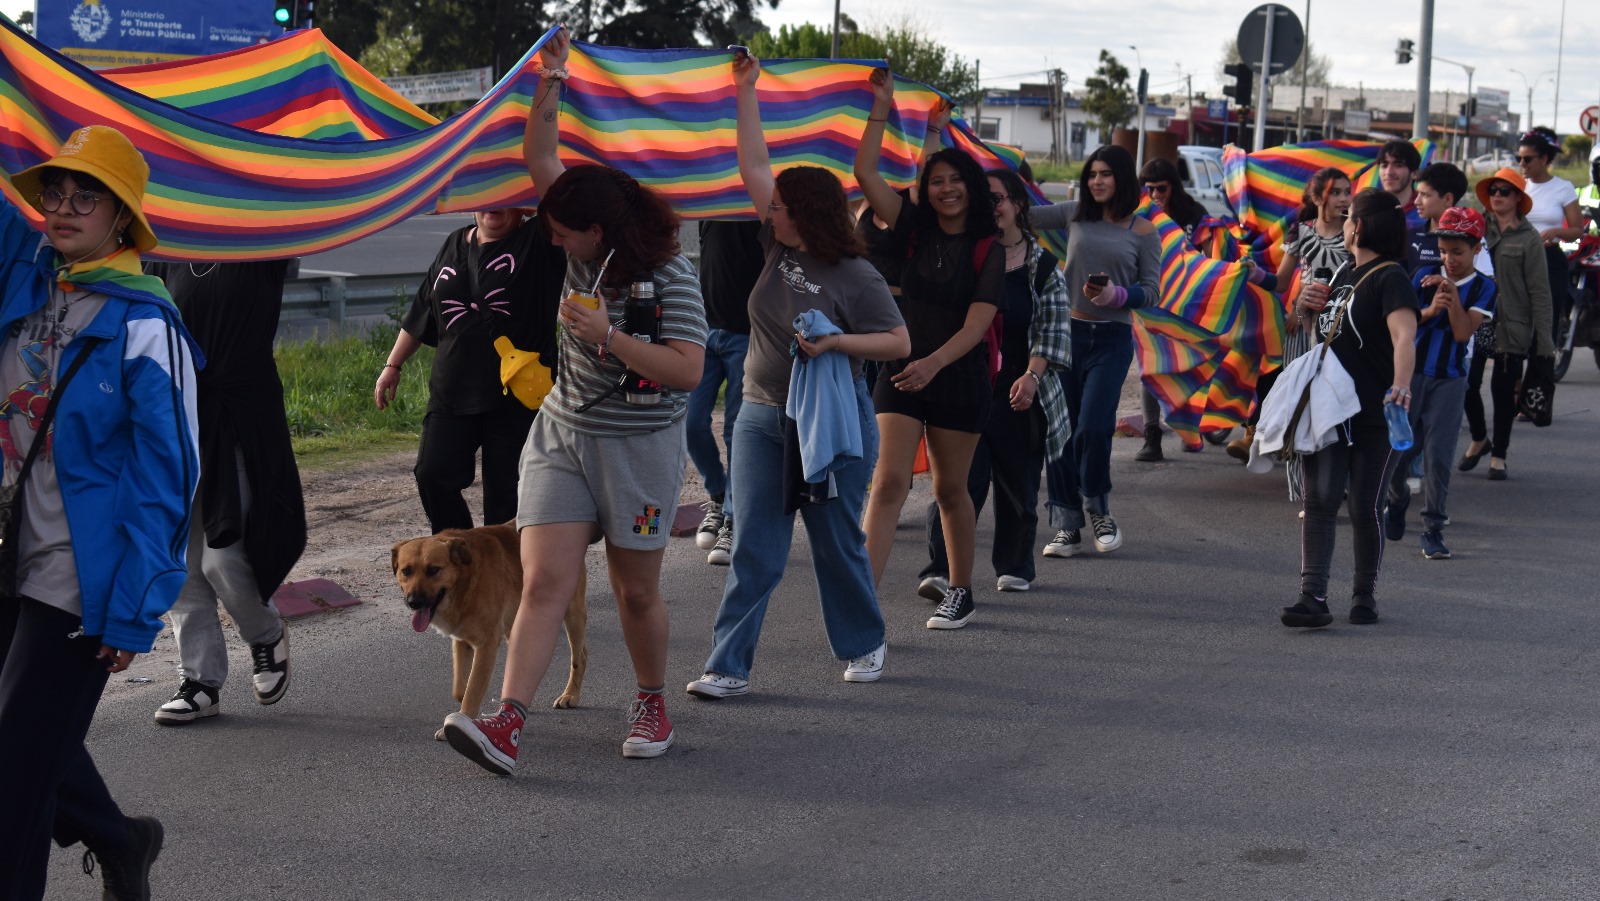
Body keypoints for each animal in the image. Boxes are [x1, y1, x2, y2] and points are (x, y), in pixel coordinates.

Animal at [390, 521, 592, 739]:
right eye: (406, 571)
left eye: (434, 570)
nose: (414, 602)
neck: (465, 581)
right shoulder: (461, 642)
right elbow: (461, 689)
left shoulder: (486, 645)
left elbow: (473, 689)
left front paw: (460, 722)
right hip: (516, 626)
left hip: (571, 613)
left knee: (580, 657)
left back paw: (570, 694)